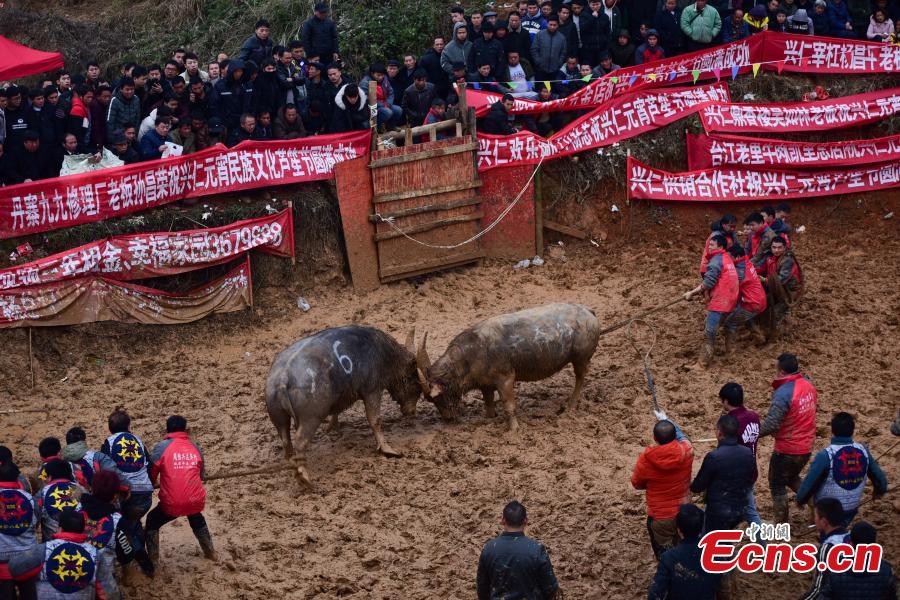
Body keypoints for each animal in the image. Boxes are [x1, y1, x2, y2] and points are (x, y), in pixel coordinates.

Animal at [264, 326, 422, 486]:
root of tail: (283, 378)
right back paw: (304, 476)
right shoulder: (373, 390)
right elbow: (375, 420)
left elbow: (336, 412)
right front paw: (387, 449)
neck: (384, 353)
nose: (411, 412)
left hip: (279, 418)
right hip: (311, 419)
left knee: (286, 441)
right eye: (416, 385)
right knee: (300, 442)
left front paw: (332, 427)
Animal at [416, 304, 600, 432]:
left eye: (437, 398)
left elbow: (508, 403)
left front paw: (513, 429)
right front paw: (489, 418)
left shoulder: (505, 379)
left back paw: (570, 405)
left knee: (580, 377)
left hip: (581, 358)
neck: (471, 354)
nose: (448, 419)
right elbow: (488, 401)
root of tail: (588, 311)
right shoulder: (485, 383)